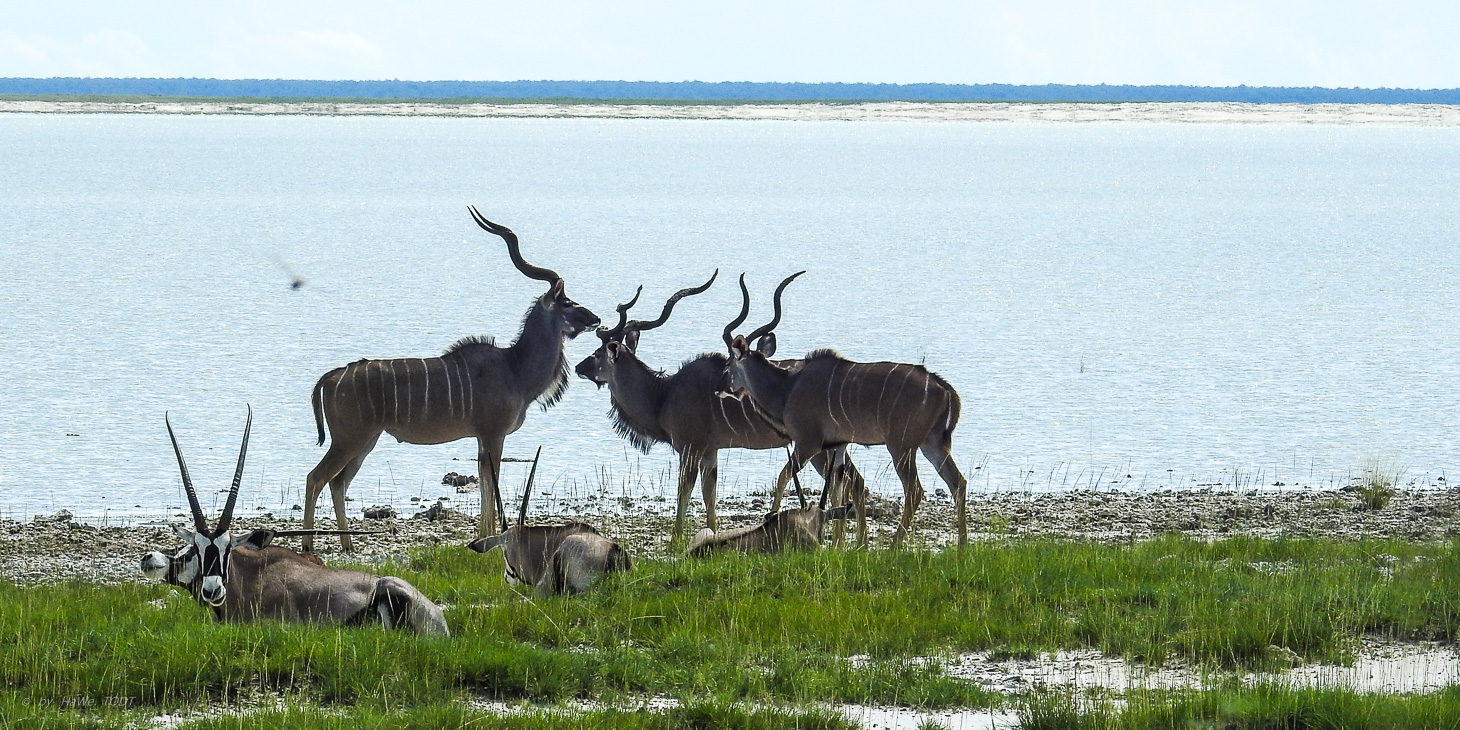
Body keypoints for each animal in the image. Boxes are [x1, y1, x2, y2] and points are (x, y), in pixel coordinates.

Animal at [304, 207, 601, 551]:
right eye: (567, 302)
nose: (596, 319)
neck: (514, 368)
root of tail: (330, 378)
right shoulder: (493, 435)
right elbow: (491, 481)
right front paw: (487, 537)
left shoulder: (481, 438)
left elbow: (484, 482)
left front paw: (481, 536)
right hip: (349, 439)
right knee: (316, 477)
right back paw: (308, 545)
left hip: (366, 440)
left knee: (338, 482)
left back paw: (349, 545)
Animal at [573, 271, 866, 545]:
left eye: (597, 353)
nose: (578, 367)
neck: (664, 395)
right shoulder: (710, 452)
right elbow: (709, 494)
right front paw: (711, 534)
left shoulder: (690, 449)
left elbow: (684, 491)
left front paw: (675, 540)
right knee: (853, 481)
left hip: (816, 448)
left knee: (852, 481)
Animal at [719, 275, 969, 548]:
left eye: (728, 364)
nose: (720, 387)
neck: (787, 388)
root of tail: (944, 389)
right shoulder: (836, 445)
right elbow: (838, 487)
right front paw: (839, 542)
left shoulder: (808, 443)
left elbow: (784, 476)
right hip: (932, 444)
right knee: (957, 482)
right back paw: (962, 545)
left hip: (901, 446)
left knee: (914, 490)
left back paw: (894, 546)